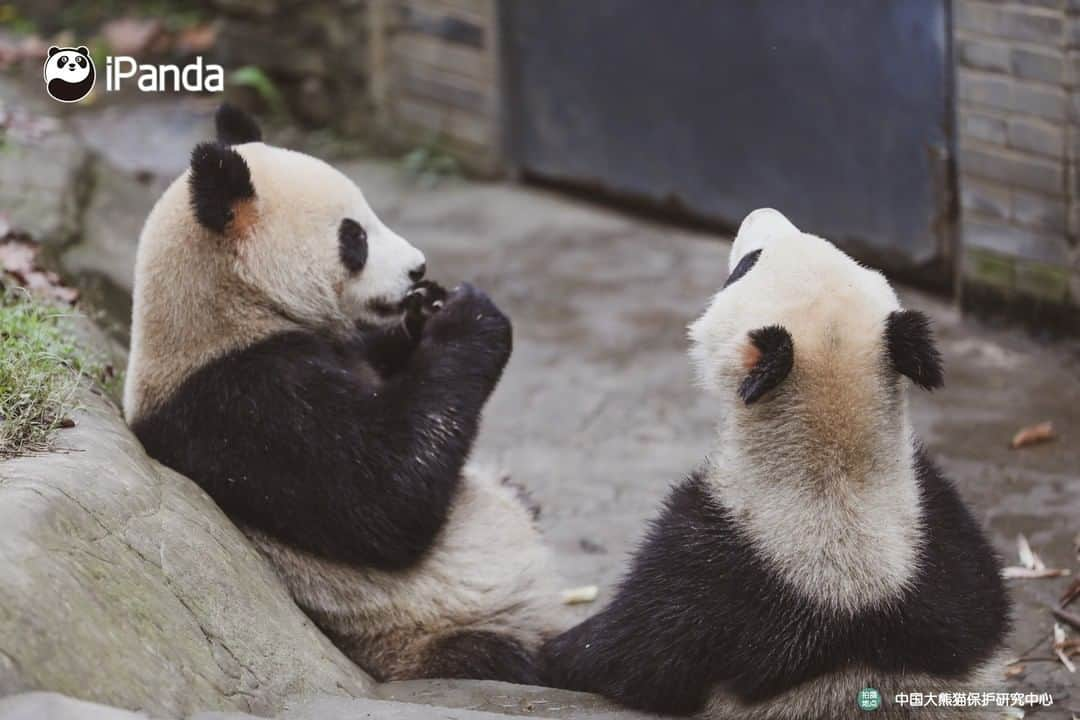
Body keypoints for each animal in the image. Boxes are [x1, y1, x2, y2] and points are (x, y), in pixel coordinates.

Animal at [123, 104, 570, 686]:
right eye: (353, 237)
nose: (419, 268)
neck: (228, 310)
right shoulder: (242, 406)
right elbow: (383, 495)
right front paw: (470, 316)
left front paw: (425, 312)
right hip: (427, 636)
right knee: (501, 656)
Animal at [544, 209, 1006, 720]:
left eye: (748, 264)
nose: (759, 213)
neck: (835, 476)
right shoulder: (943, 540)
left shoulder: (705, 574)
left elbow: (619, 653)